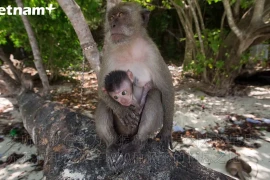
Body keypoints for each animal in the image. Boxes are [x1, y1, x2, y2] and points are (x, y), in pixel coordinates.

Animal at [95, 1, 175, 169]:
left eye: (121, 15)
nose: (112, 25)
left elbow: (166, 89)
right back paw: (112, 144)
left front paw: (166, 132)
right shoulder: (108, 52)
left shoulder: (153, 53)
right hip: (121, 130)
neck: (129, 46)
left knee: (154, 93)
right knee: (104, 103)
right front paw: (122, 111)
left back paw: (137, 143)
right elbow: (101, 90)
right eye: (111, 17)